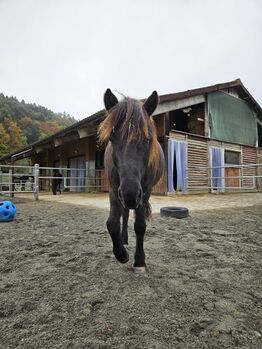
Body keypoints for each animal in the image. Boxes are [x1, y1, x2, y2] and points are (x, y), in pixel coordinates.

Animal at [98, 87, 164, 272]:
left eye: (147, 139)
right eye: (111, 138)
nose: (130, 192)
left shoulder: (144, 192)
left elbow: (140, 226)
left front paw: (139, 260)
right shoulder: (115, 190)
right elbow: (112, 223)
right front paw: (121, 254)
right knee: (125, 214)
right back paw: (124, 240)